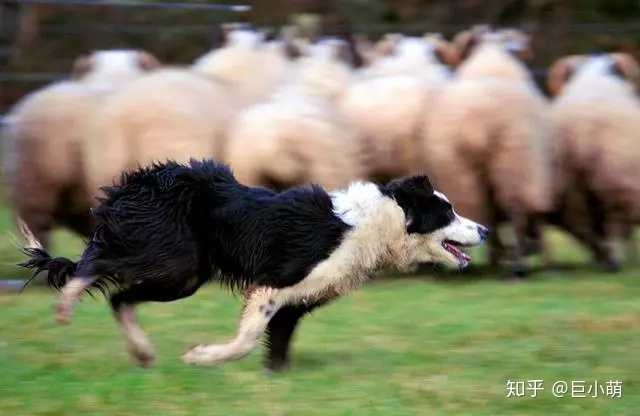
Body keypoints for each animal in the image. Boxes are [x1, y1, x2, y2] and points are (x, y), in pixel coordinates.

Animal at [420, 29, 552, 276]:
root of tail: (481, 119)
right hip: (515, 159)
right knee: (514, 211)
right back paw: (514, 265)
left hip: (460, 169)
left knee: (484, 212)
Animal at [544, 53, 640, 268]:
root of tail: (582, 133)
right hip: (616, 179)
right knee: (614, 224)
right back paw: (615, 261)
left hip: (567, 191)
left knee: (583, 227)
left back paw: (601, 259)